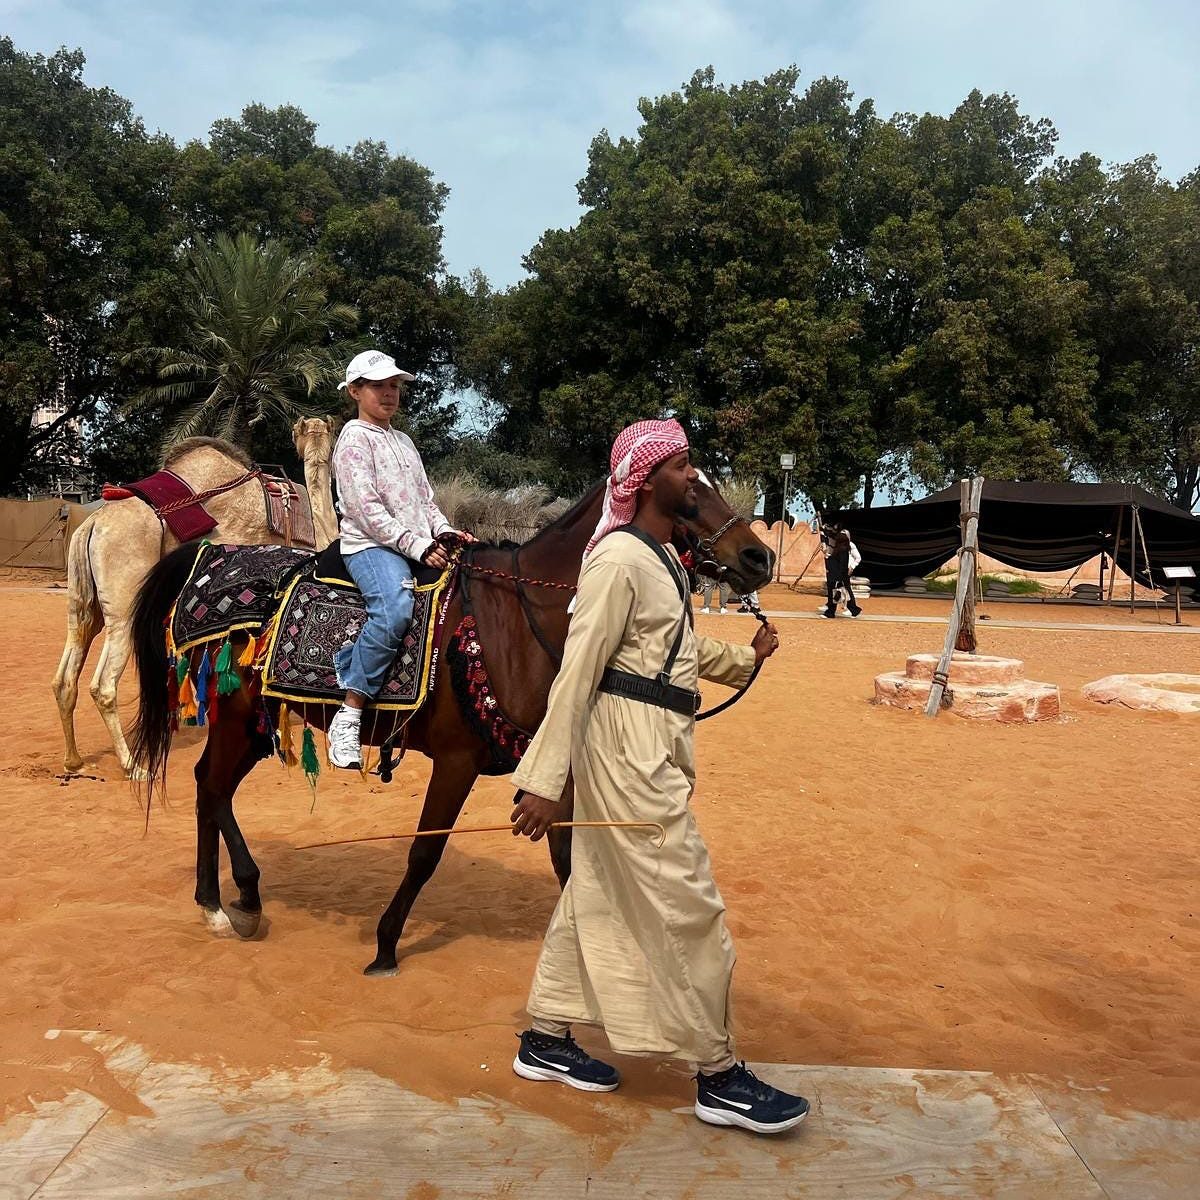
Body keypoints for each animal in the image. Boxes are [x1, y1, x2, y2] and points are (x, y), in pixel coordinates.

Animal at [54, 420, 338, 777]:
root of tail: (91, 523)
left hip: (83, 604)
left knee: (67, 671)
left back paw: (73, 759)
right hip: (123, 606)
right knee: (103, 685)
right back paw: (133, 765)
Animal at [126, 475, 772, 974]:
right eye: (689, 489)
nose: (757, 557)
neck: (522, 621)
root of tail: (210, 561)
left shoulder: (551, 763)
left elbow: (566, 855)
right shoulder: (458, 761)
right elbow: (424, 853)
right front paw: (386, 945)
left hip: (253, 726)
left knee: (212, 790)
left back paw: (232, 897)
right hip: (236, 718)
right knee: (211, 787)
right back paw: (227, 900)